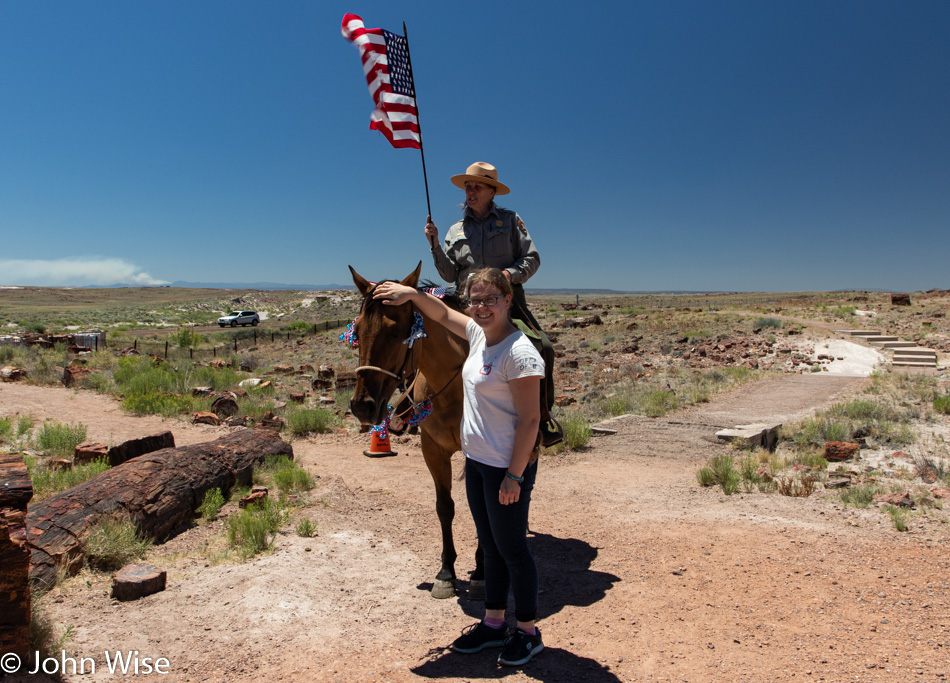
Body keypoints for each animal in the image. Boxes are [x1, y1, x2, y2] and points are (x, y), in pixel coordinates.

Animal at [348, 262, 484, 600]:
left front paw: (481, 572)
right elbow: (444, 508)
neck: (454, 389)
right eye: (356, 333)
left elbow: (483, 511)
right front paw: (446, 572)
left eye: (397, 332)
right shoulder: (432, 449)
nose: (362, 406)